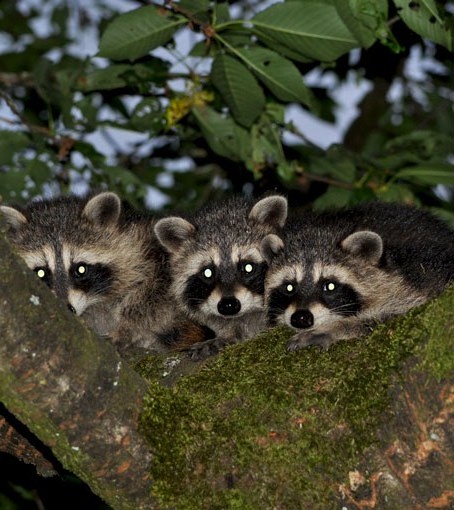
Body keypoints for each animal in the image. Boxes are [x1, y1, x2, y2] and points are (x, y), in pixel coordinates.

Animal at [0, 191, 174, 354]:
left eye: (81, 269)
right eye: (41, 273)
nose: (66, 309)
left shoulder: (149, 246)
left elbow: (157, 291)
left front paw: (128, 328)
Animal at [260, 201, 454, 352]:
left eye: (330, 286)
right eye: (289, 287)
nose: (301, 318)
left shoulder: (420, 274)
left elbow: (405, 310)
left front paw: (337, 327)